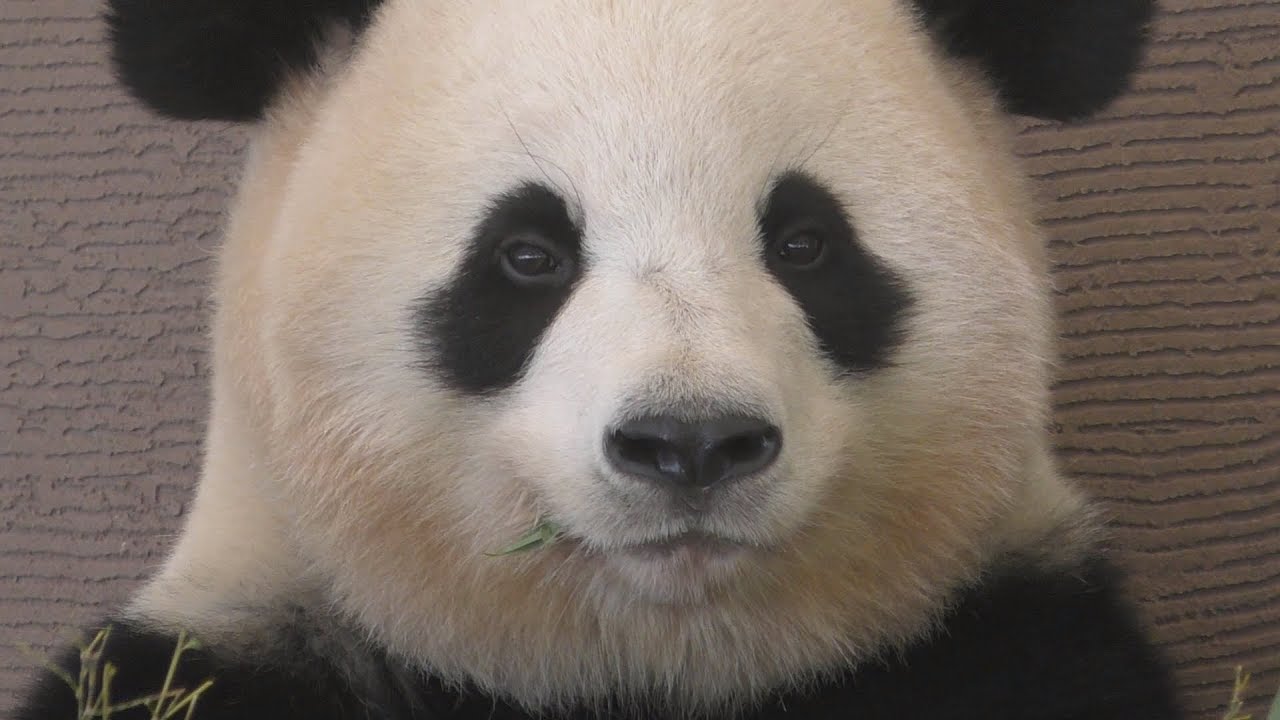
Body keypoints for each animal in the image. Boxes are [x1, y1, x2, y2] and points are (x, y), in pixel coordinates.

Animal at [16, 0, 1185, 718]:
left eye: (805, 243)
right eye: (528, 254)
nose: (692, 443)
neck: (644, 670)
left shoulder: (1006, 636)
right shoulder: (263, 644)